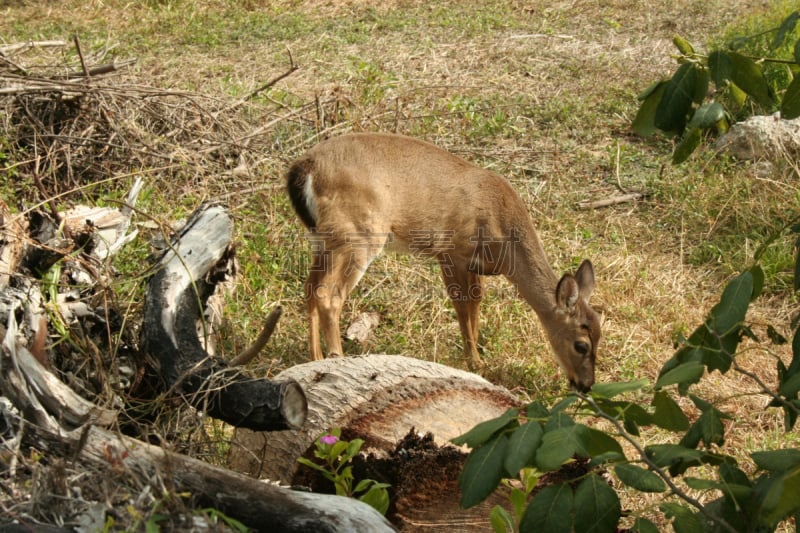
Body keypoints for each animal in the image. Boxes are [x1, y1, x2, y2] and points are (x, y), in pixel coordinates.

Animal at [286, 133, 600, 390]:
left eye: (600, 335)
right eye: (581, 345)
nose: (585, 385)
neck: (504, 232)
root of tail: (304, 167)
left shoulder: (474, 264)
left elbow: (476, 302)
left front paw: (478, 354)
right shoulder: (453, 251)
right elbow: (462, 305)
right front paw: (475, 361)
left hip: (323, 239)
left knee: (310, 287)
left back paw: (314, 360)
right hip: (358, 234)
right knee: (328, 294)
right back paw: (335, 359)